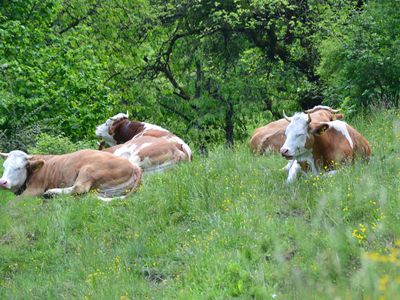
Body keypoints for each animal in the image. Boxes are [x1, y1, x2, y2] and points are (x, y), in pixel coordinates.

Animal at [0, 149, 143, 202]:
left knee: (79, 188)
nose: (2, 182)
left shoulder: (34, 189)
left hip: (88, 170)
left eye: (18, 168)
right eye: (4, 166)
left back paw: (51, 192)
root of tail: (134, 166)